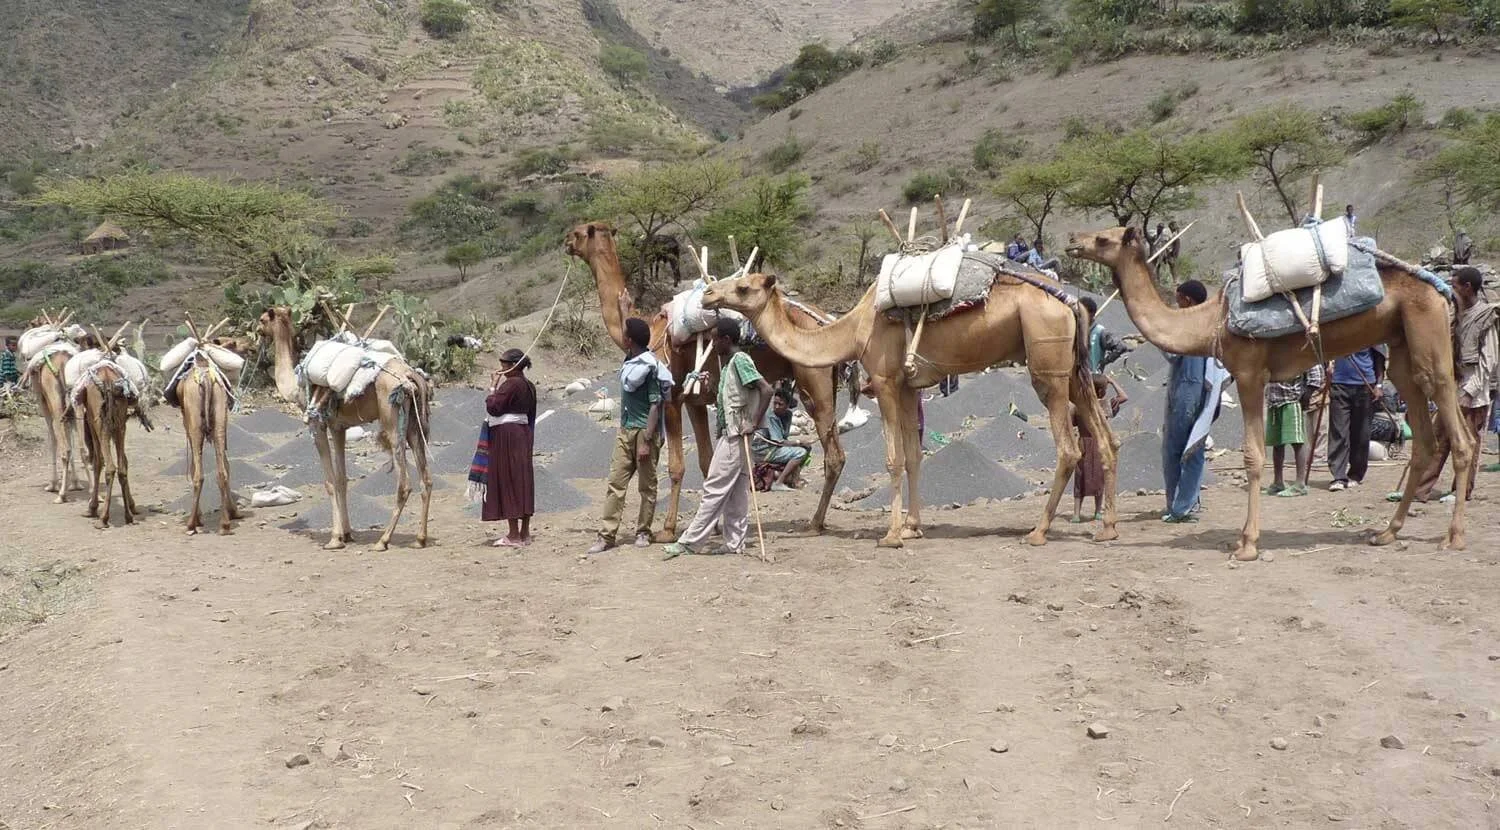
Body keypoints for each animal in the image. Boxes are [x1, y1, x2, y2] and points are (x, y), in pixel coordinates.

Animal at [258, 306, 433, 551]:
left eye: (263, 320)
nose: (257, 333)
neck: (295, 386)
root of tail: (410, 376)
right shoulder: (338, 427)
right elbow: (342, 480)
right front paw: (347, 534)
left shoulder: (318, 424)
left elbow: (330, 482)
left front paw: (334, 539)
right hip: (414, 426)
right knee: (426, 479)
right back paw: (420, 539)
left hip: (392, 420)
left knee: (404, 484)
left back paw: (383, 540)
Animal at [566, 221, 848, 540]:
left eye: (578, 233)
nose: (565, 242)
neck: (650, 330)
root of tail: (827, 322)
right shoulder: (695, 401)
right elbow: (706, 461)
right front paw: (713, 527)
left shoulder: (672, 397)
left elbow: (676, 466)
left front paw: (668, 529)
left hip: (814, 383)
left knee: (834, 454)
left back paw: (815, 523)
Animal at [699, 271, 1118, 549]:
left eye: (743, 286)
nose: (707, 294)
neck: (854, 329)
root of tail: (1072, 303)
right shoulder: (906, 387)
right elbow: (915, 455)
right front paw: (914, 526)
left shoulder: (885, 382)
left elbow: (894, 459)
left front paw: (891, 534)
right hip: (1076, 369)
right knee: (1107, 439)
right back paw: (1108, 527)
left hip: (1048, 365)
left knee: (1070, 448)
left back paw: (1039, 531)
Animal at [1065, 224, 1472, 560]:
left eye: (1103, 238)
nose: (1073, 241)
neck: (1210, 321)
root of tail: (1441, 291)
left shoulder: (1249, 374)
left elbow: (1254, 456)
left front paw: (1247, 544)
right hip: (1402, 350)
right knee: (1424, 441)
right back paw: (1387, 532)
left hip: (1429, 339)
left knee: (1460, 437)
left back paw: (1453, 537)